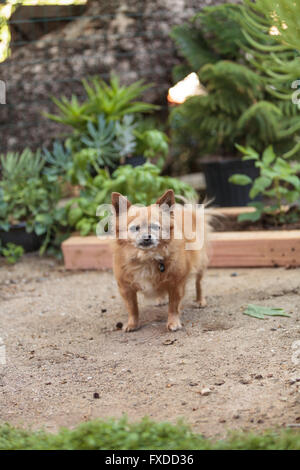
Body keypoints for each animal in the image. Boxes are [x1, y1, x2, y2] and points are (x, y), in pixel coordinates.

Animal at [110, 189, 211, 332]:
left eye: (154, 227)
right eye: (135, 228)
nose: (146, 237)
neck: (146, 258)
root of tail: (189, 213)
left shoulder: (176, 284)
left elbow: (173, 306)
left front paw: (173, 322)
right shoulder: (125, 288)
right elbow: (132, 307)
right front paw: (132, 324)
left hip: (199, 264)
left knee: (199, 283)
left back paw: (200, 300)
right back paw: (161, 298)